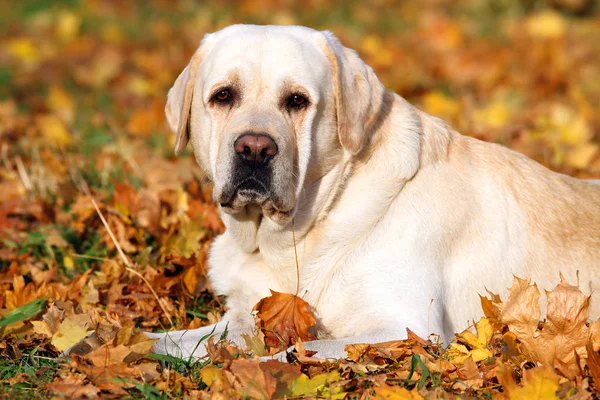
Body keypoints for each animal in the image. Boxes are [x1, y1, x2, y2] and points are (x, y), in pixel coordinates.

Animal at [150, 24, 600, 360]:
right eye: (223, 95)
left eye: (297, 100)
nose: (255, 149)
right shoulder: (241, 316)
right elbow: (175, 340)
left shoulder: (404, 326)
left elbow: (294, 352)